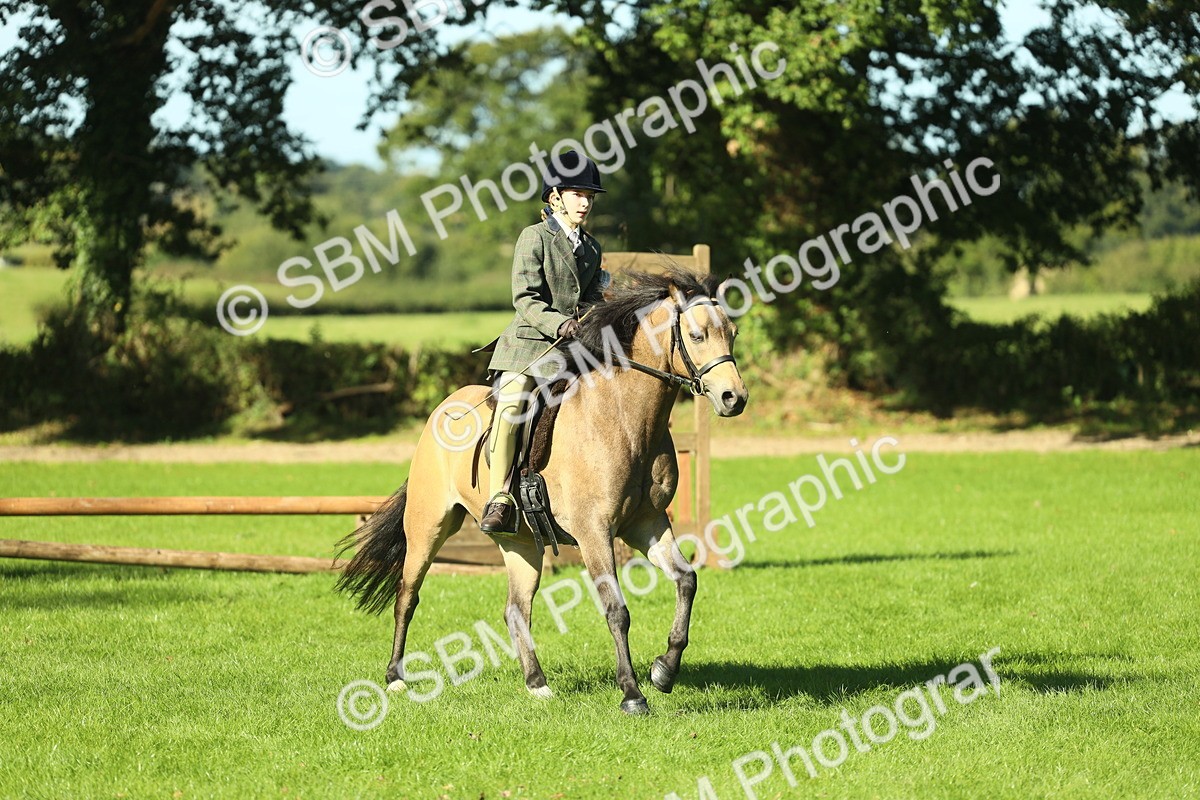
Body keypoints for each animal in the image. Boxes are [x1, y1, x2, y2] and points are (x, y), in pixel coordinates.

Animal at [335, 267, 748, 714]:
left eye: (733, 332)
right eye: (696, 335)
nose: (734, 398)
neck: (624, 418)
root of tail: (441, 410)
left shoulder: (647, 524)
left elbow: (686, 581)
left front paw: (664, 671)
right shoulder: (594, 532)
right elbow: (616, 609)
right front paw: (632, 694)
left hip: (520, 542)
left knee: (516, 610)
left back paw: (537, 684)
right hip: (428, 527)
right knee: (407, 595)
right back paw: (395, 678)